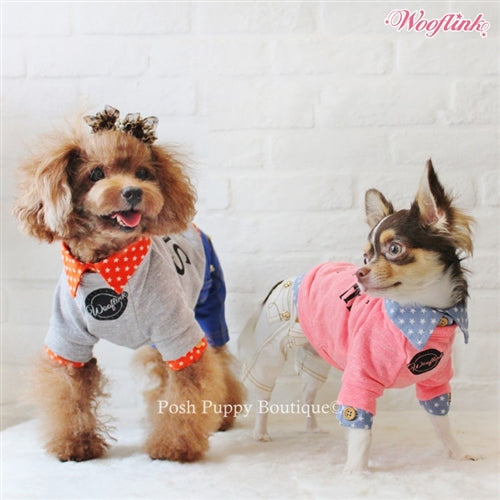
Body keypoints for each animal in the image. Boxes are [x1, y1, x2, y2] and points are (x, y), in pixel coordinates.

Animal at [13, 105, 244, 462]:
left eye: (144, 173)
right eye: (95, 173)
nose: (134, 192)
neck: (107, 265)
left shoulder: (177, 330)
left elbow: (192, 382)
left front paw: (173, 445)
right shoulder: (68, 338)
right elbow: (68, 392)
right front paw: (76, 444)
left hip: (208, 306)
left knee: (220, 361)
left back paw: (223, 415)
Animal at [240, 160, 475, 472]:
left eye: (394, 249)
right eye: (365, 257)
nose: (358, 273)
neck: (421, 313)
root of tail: (285, 280)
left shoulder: (434, 382)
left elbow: (442, 422)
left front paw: (458, 453)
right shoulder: (359, 379)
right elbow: (361, 429)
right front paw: (356, 471)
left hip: (316, 360)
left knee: (307, 394)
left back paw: (312, 428)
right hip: (270, 354)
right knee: (263, 396)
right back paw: (261, 432)